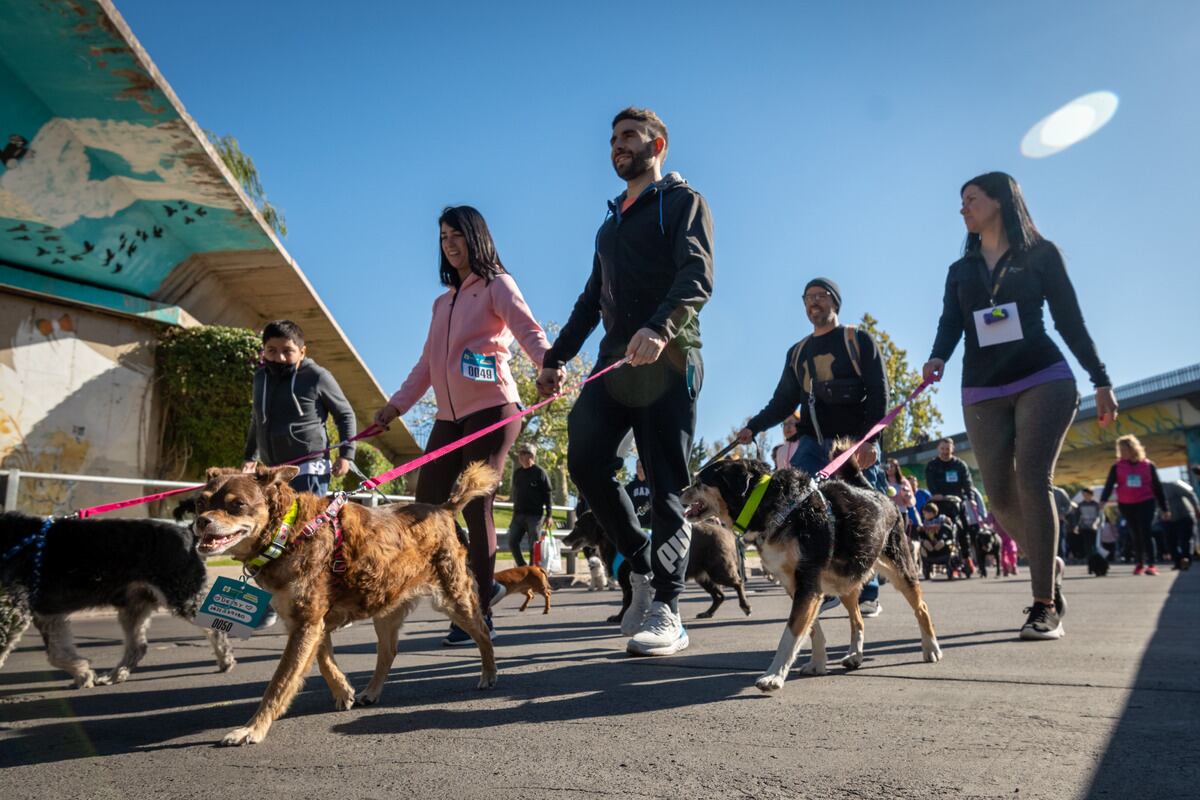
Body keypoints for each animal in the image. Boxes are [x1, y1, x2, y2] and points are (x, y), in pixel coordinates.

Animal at [0, 513, 234, 690]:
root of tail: (188, 532)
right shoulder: (47, 614)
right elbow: (57, 652)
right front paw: (83, 673)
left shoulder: (12, 611)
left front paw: (83, 672)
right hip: (135, 605)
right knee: (138, 646)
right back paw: (115, 675)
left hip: (182, 594)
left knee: (215, 628)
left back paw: (225, 661)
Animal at [196, 460, 496, 748]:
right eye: (201, 502)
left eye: (237, 504)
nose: (201, 521)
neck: (290, 532)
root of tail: (444, 510)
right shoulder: (310, 622)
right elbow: (324, 659)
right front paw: (342, 690)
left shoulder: (307, 622)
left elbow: (279, 684)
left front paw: (253, 728)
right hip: (385, 607)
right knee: (388, 653)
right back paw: (371, 691)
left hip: (455, 599)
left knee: (483, 633)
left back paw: (489, 674)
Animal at [561, 513, 748, 623]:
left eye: (577, 525)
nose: (563, 539)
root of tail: (722, 529)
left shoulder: (628, 583)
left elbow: (626, 601)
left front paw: (620, 617)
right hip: (704, 577)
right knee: (720, 596)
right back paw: (707, 613)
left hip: (719, 570)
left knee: (738, 583)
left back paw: (745, 606)